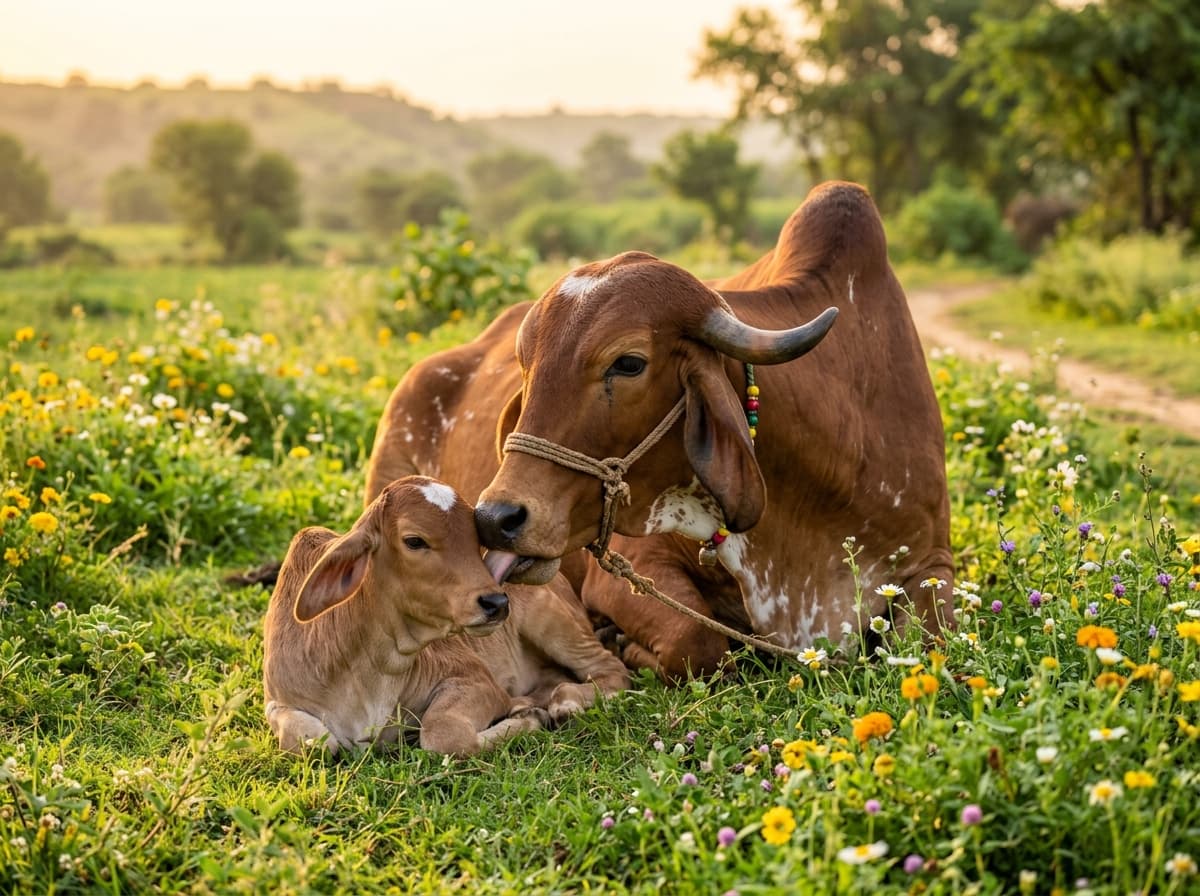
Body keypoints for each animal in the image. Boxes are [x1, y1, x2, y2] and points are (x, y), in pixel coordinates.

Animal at [262, 476, 629, 756]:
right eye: (414, 541)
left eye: (476, 538)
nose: (496, 602)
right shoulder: (278, 702)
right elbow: (316, 743)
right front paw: (525, 712)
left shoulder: (474, 679)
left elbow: (444, 734)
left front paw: (529, 719)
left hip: (554, 621)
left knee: (612, 670)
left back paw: (565, 703)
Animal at [368, 181, 953, 681]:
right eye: (525, 365)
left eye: (628, 363)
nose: (495, 518)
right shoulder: (630, 566)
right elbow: (697, 640)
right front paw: (619, 640)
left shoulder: (934, 559)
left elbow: (938, 635)